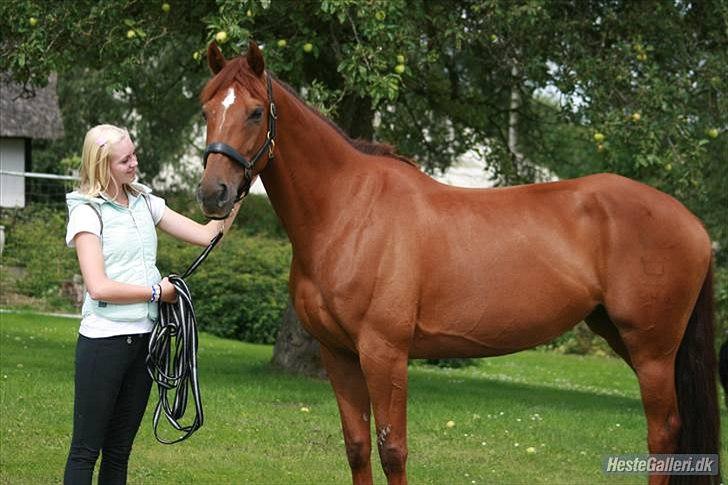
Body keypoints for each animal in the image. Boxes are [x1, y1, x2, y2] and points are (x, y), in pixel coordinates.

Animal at [195, 42, 724, 484]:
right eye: (206, 108)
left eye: (255, 111)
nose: (213, 193)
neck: (349, 211)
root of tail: (693, 223)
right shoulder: (337, 353)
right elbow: (358, 447)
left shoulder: (384, 353)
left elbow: (393, 450)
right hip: (623, 336)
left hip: (652, 349)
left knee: (663, 433)